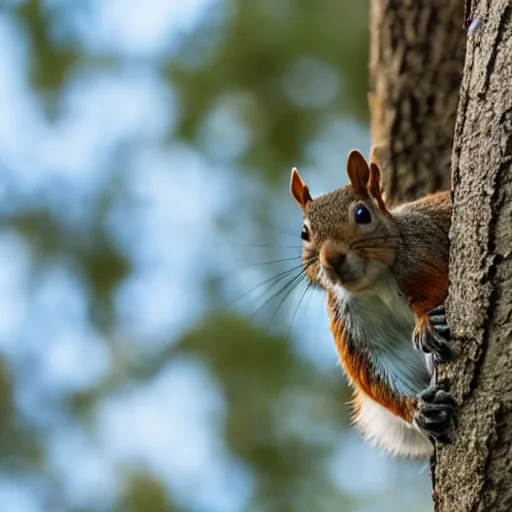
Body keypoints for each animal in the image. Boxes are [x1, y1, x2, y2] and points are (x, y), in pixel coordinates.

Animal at [292, 150, 456, 458]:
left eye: (362, 214)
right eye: (304, 233)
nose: (331, 258)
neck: (376, 283)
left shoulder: (423, 257)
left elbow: (438, 291)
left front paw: (428, 323)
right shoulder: (352, 321)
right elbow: (379, 367)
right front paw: (420, 410)